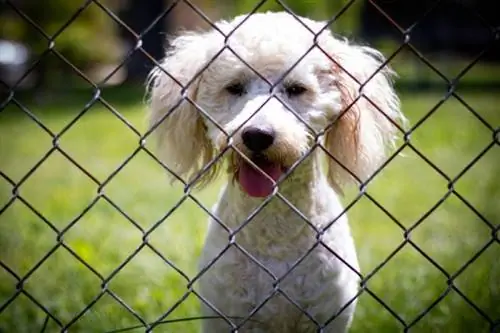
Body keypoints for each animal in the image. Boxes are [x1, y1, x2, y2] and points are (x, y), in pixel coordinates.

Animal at [146, 11, 404, 332]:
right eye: (234, 87)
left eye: (296, 89)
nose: (257, 135)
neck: (275, 237)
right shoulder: (225, 316)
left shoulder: (328, 317)